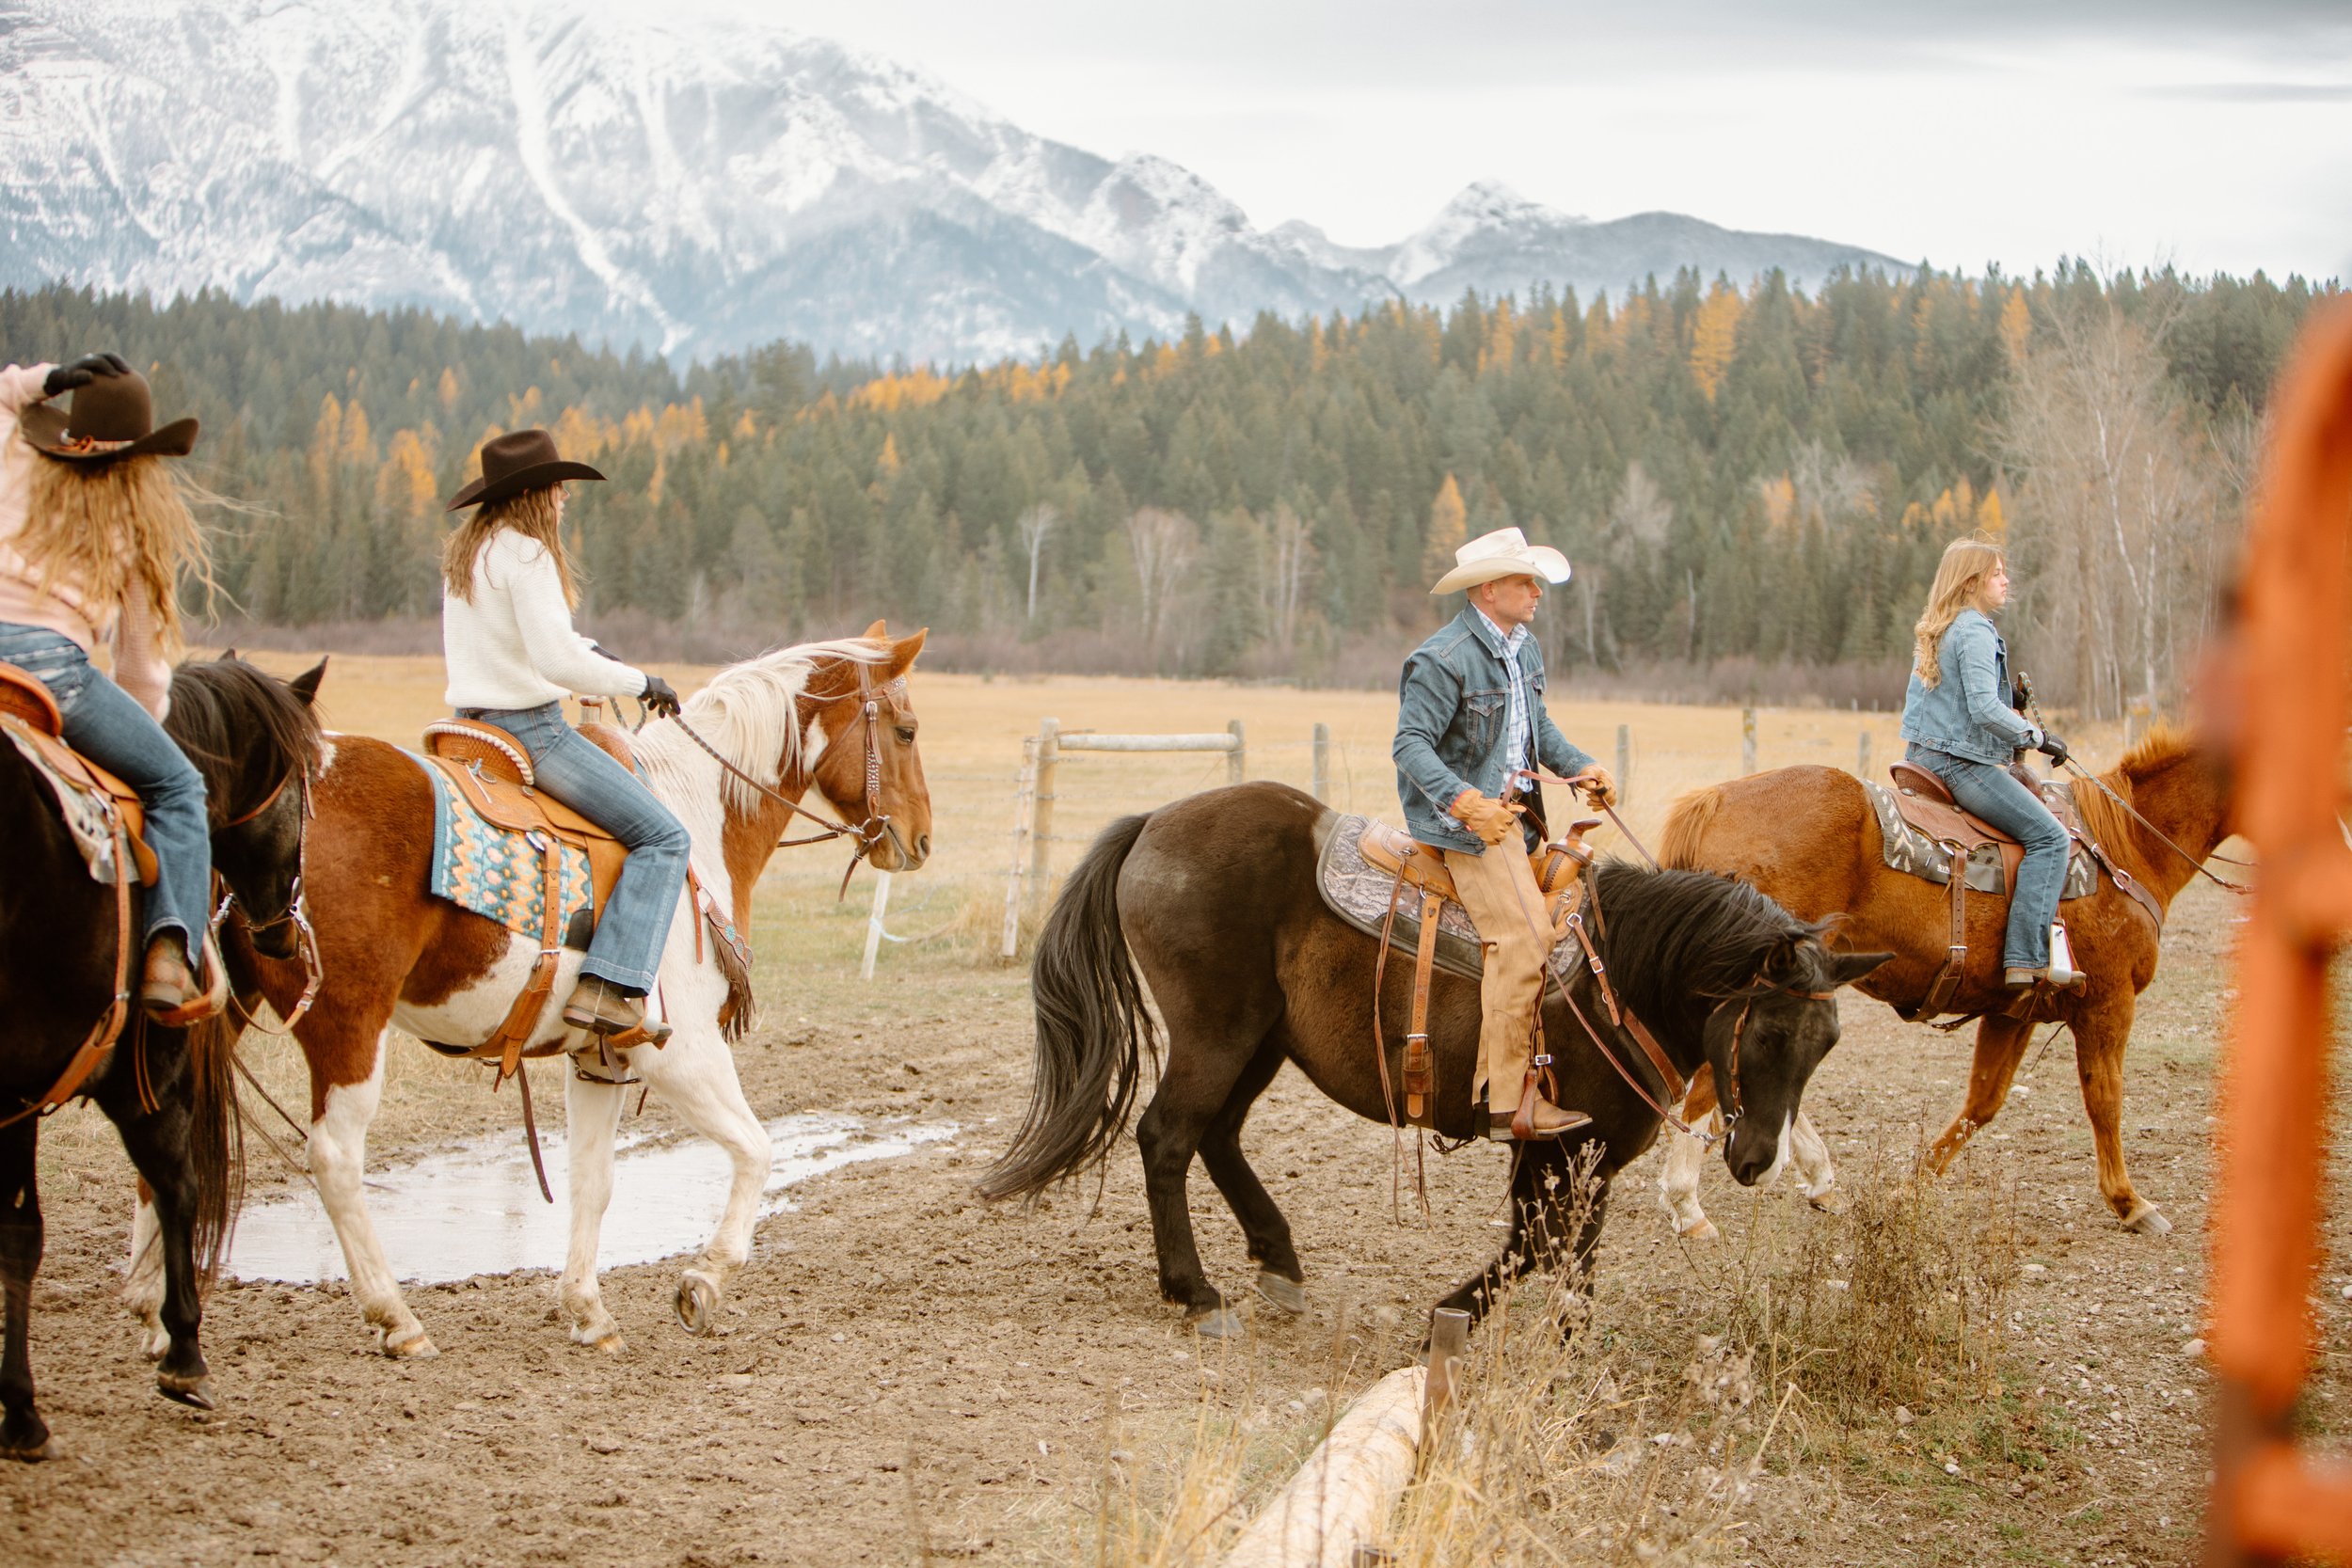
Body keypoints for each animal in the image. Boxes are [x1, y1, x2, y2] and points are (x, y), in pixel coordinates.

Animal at [188, 629, 931, 1354]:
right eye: (905, 730)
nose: (921, 840)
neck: (695, 813)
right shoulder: (682, 1051)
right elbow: (756, 1150)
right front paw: (704, 1281)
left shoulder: (600, 1055)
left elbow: (592, 1182)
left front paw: (587, 1310)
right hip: (347, 1022)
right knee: (335, 1159)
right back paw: (395, 1316)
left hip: (224, 1010)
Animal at [978, 784, 1891, 1335]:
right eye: (1768, 1034)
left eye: (1828, 1044)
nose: (1756, 1158)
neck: (1621, 972)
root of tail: (1153, 823)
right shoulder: (1557, 1144)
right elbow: (1537, 1243)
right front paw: (1456, 1319)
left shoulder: (1589, 1156)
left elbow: (1567, 1251)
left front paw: (1567, 1352)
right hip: (1217, 1033)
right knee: (1168, 1138)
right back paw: (1195, 1290)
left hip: (1260, 1042)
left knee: (1218, 1136)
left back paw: (1277, 1259)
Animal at [1656, 728, 2239, 1241]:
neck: (2126, 847)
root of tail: (1714, 801)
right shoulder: (2108, 1004)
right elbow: (2105, 1099)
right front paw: (2131, 1202)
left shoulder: (2013, 1011)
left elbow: (1983, 1102)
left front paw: (1909, 1186)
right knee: (1712, 1079)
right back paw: (1688, 1207)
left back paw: (1817, 1180)